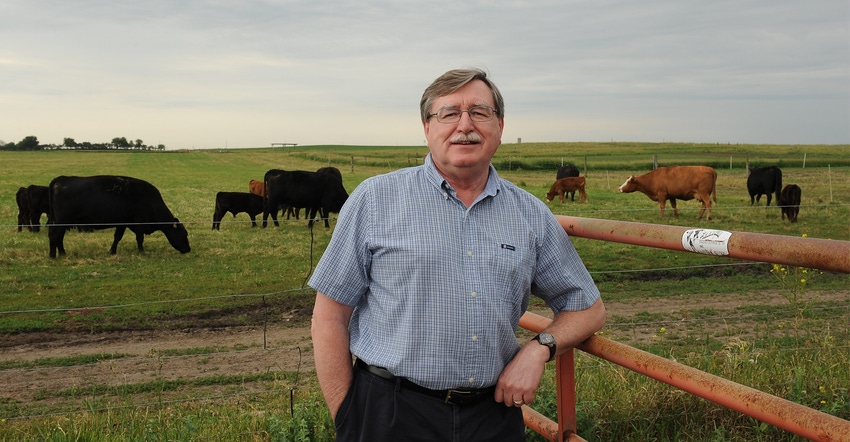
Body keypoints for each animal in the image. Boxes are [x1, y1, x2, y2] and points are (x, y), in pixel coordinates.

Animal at [46, 175, 190, 258]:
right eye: (184, 234)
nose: (188, 249)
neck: (150, 200)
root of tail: (62, 178)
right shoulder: (139, 223)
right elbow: (140, 238)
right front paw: (142, 252)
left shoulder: (123, 223)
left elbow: (117, 237)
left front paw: (112, 251)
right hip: (61, 221)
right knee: (54, 235)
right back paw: (53, 255)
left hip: (63, 222)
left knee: (59, 237)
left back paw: (63, 254)